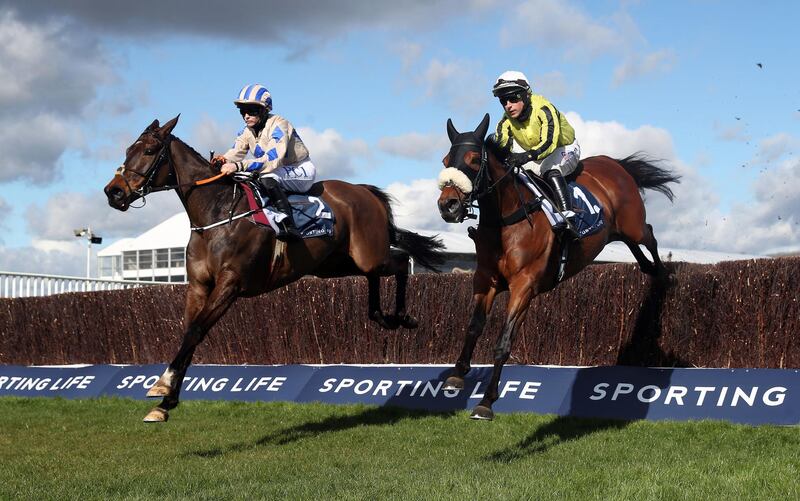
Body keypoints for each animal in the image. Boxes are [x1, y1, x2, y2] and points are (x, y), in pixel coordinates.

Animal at [103, 115, 446, 420]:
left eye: (149, 151)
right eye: (127, 150)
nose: (113, 192)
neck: (216, 213)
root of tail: (364, 191)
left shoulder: (230, 284)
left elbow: (197, 330)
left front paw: (161, 386)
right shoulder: (199, 285)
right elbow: (189, 333)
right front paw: (166, 402)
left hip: (366, 253)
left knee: (399, 262)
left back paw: (403, 316)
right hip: (336, 263)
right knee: (375, 274)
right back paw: (382, 316)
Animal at [438, 113, 680, 418]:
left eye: (472, 159)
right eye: (446, 160)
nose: (447, 205)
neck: (508, 220)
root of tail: (614, 163)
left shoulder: (524, 287)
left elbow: (503, 342)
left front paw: (486, 401)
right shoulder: (485, 279)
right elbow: (473, 327)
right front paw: (456, 375)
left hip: (632, 225)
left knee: (649, 235)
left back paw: (663, 274)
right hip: (615, 231)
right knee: (636, 248)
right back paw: (650, 270)